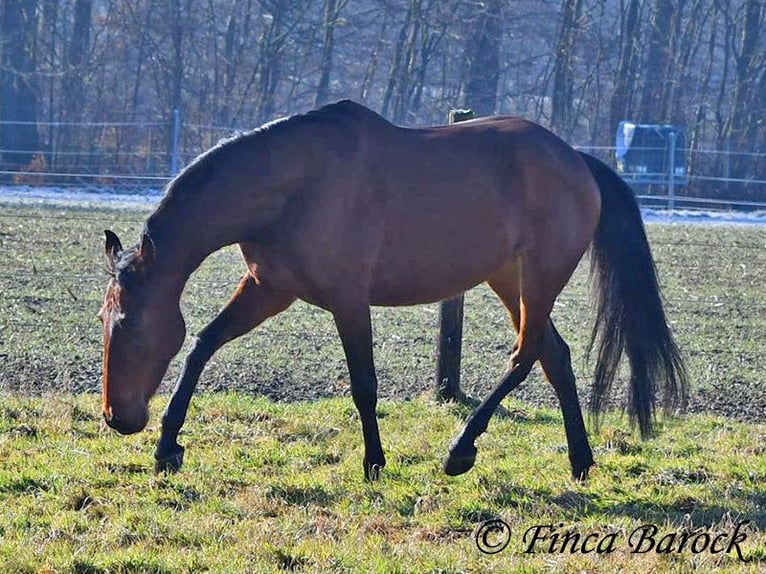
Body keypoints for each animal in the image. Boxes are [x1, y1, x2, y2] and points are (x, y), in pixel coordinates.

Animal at [97, 101, 688, 484]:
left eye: (129, 322)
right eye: (104, 321)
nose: (116, 417)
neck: (294, 184)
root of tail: (577, 160)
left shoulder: (348, 300)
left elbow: (364, 385)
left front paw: (374, 463)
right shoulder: (270, 288)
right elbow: (202, 344)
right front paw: (168, 446)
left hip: (541, 276)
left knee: (524, 356)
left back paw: (460, 451)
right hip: (509, 278)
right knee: (554, 356)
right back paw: (581, 462)